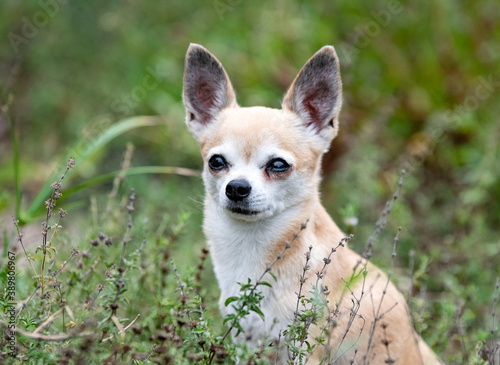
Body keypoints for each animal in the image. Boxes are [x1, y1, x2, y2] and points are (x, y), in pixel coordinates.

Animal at [183, 43, 442, 364]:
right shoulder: (245, 341)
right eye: (216, 162)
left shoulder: (303, 348)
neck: (253, 246)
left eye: (278, 165)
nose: (237, 188)